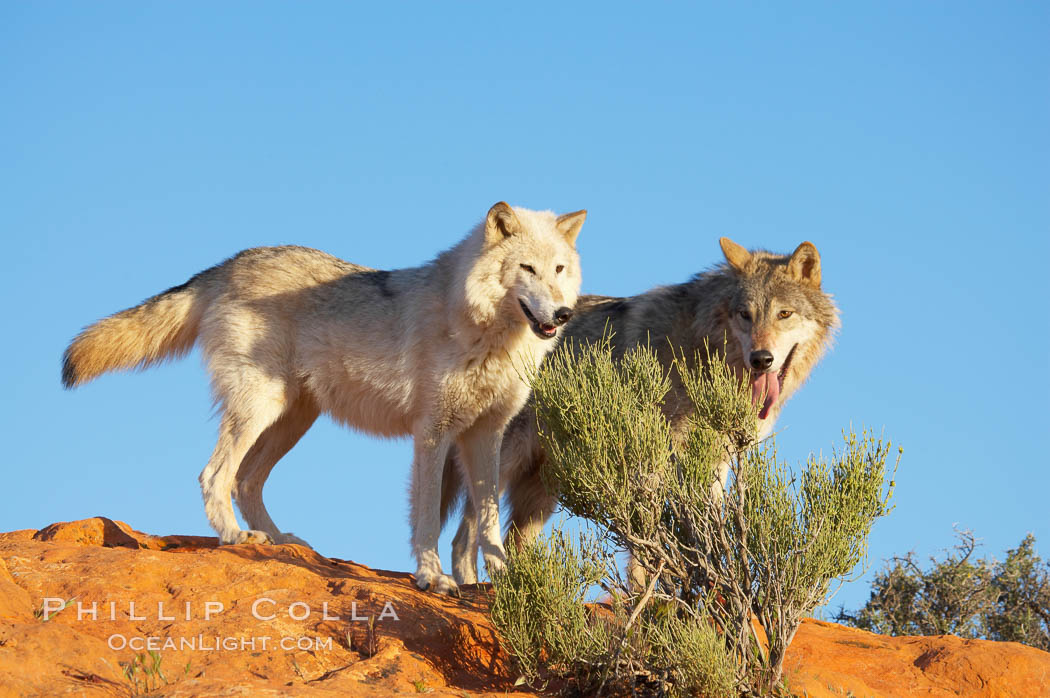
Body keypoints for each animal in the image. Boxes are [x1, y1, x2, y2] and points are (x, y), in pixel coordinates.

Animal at [61, 201, 588, 591]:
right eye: (527, 268)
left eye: (559, 269)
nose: (562, 314)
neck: (488, 334)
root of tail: (230, 263)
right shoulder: (432, 434)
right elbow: (427, 519)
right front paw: (431, 576)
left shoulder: (486, 435)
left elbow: (489, 519)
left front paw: (508, 582)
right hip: (262, 409)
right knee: (215, 475)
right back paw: (236, 536)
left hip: (291, 420)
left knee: (246, 480)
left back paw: (280, 540)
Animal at [440, 235, 835, 583]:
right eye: (745, 314)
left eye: (784, 313)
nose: (761, 359)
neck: (702, 350)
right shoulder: (653, 460)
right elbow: (647, 545)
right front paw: (643, 601)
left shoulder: (715, 467)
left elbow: (705, 540)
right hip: (506, 464)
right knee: (464, 539)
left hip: (542, 490)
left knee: (510, 544)